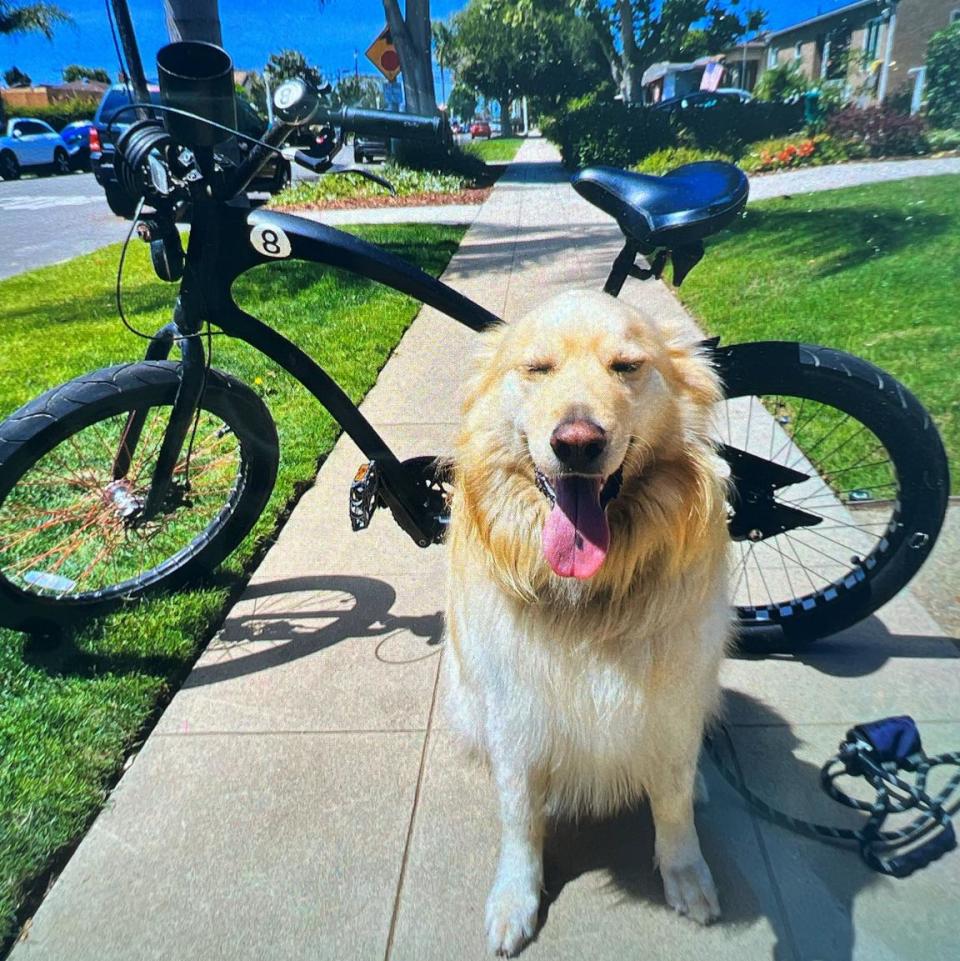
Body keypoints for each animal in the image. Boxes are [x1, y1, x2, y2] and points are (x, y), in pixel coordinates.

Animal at [446, 290, 732, 952]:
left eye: (626, 366)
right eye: (537, 368)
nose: (577, 443)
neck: (588, 595)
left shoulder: (672, 705)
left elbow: (673, 801)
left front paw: (686, 872)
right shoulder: (515, 714)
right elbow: (519, 817)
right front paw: (514, 898)